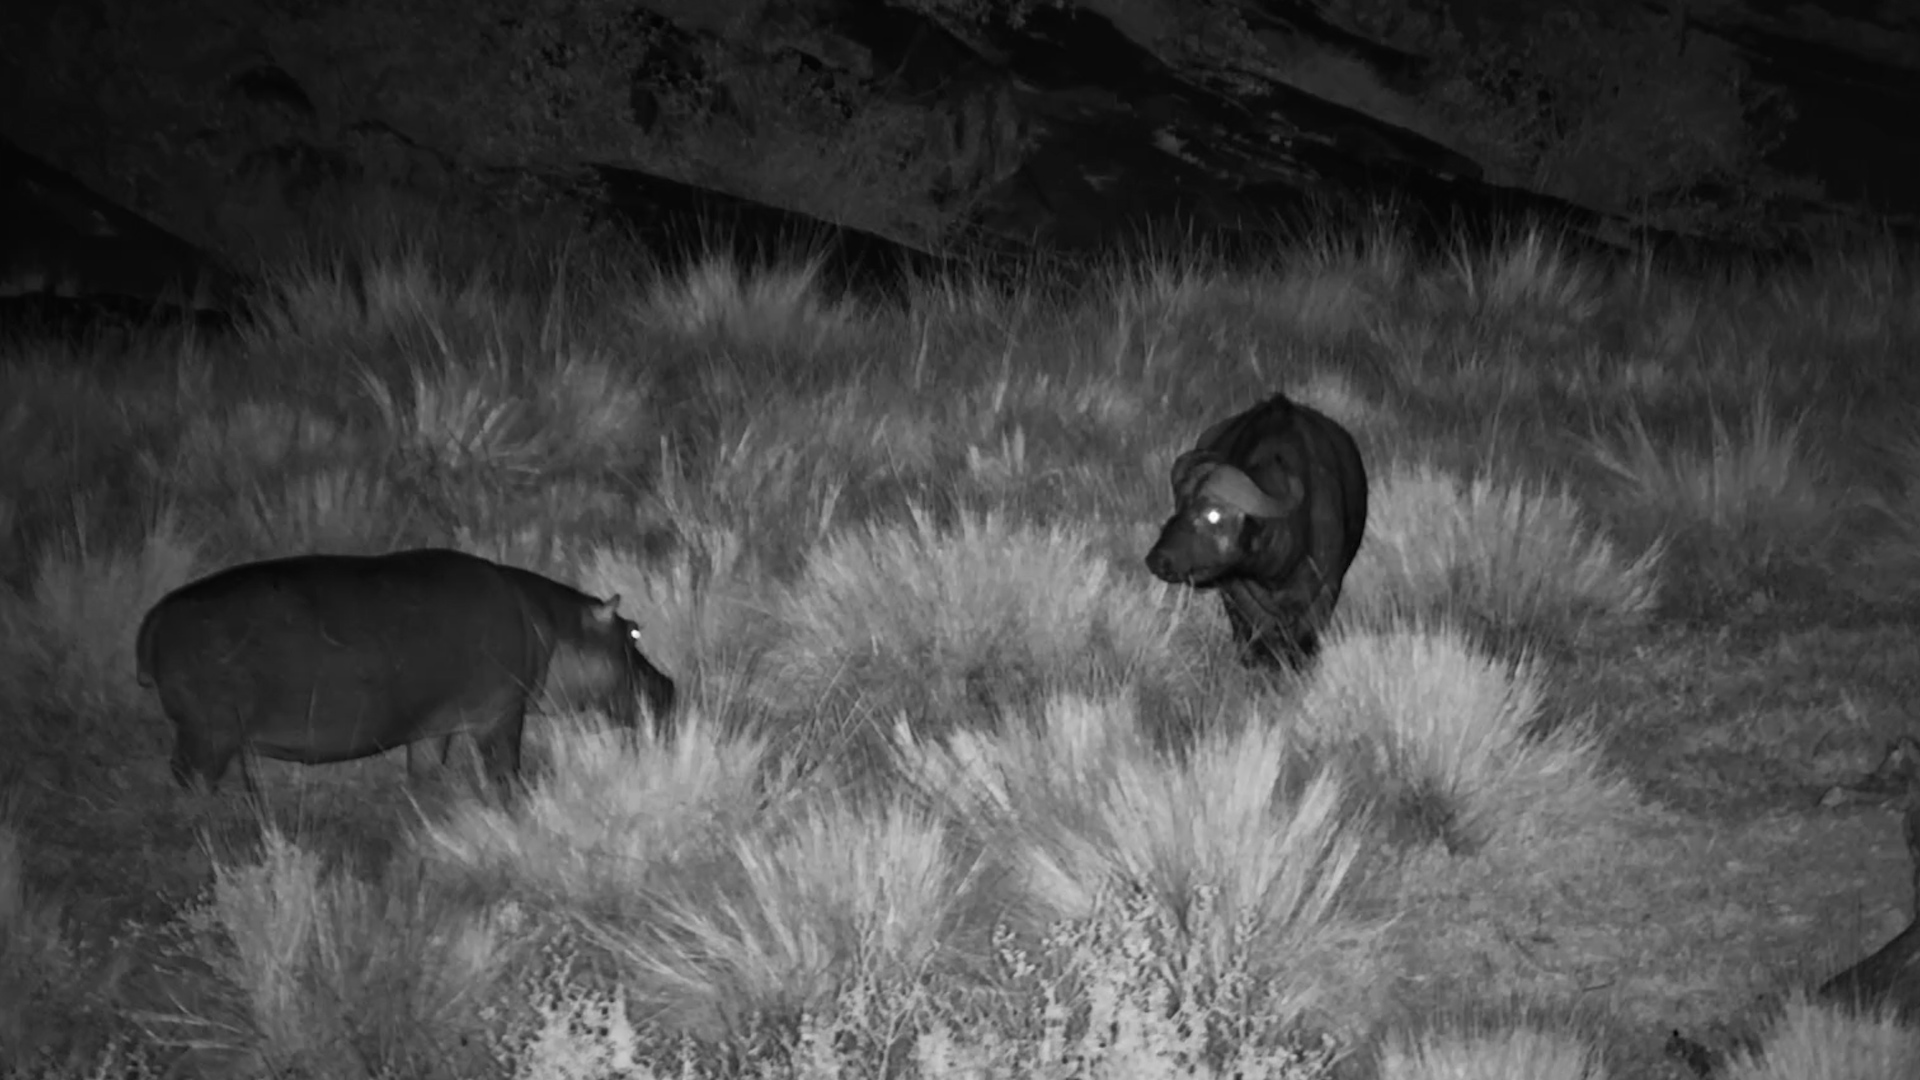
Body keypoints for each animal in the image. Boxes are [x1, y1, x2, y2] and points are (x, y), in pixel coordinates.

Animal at [136, 548, 676, 795]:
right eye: (634, 631)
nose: (670, 685)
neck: (553, 624)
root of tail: (155, 615)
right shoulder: (501, 716)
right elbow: (505, 771)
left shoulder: (433, 728)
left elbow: (427, 769)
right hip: (208, 734)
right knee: (188, 778)